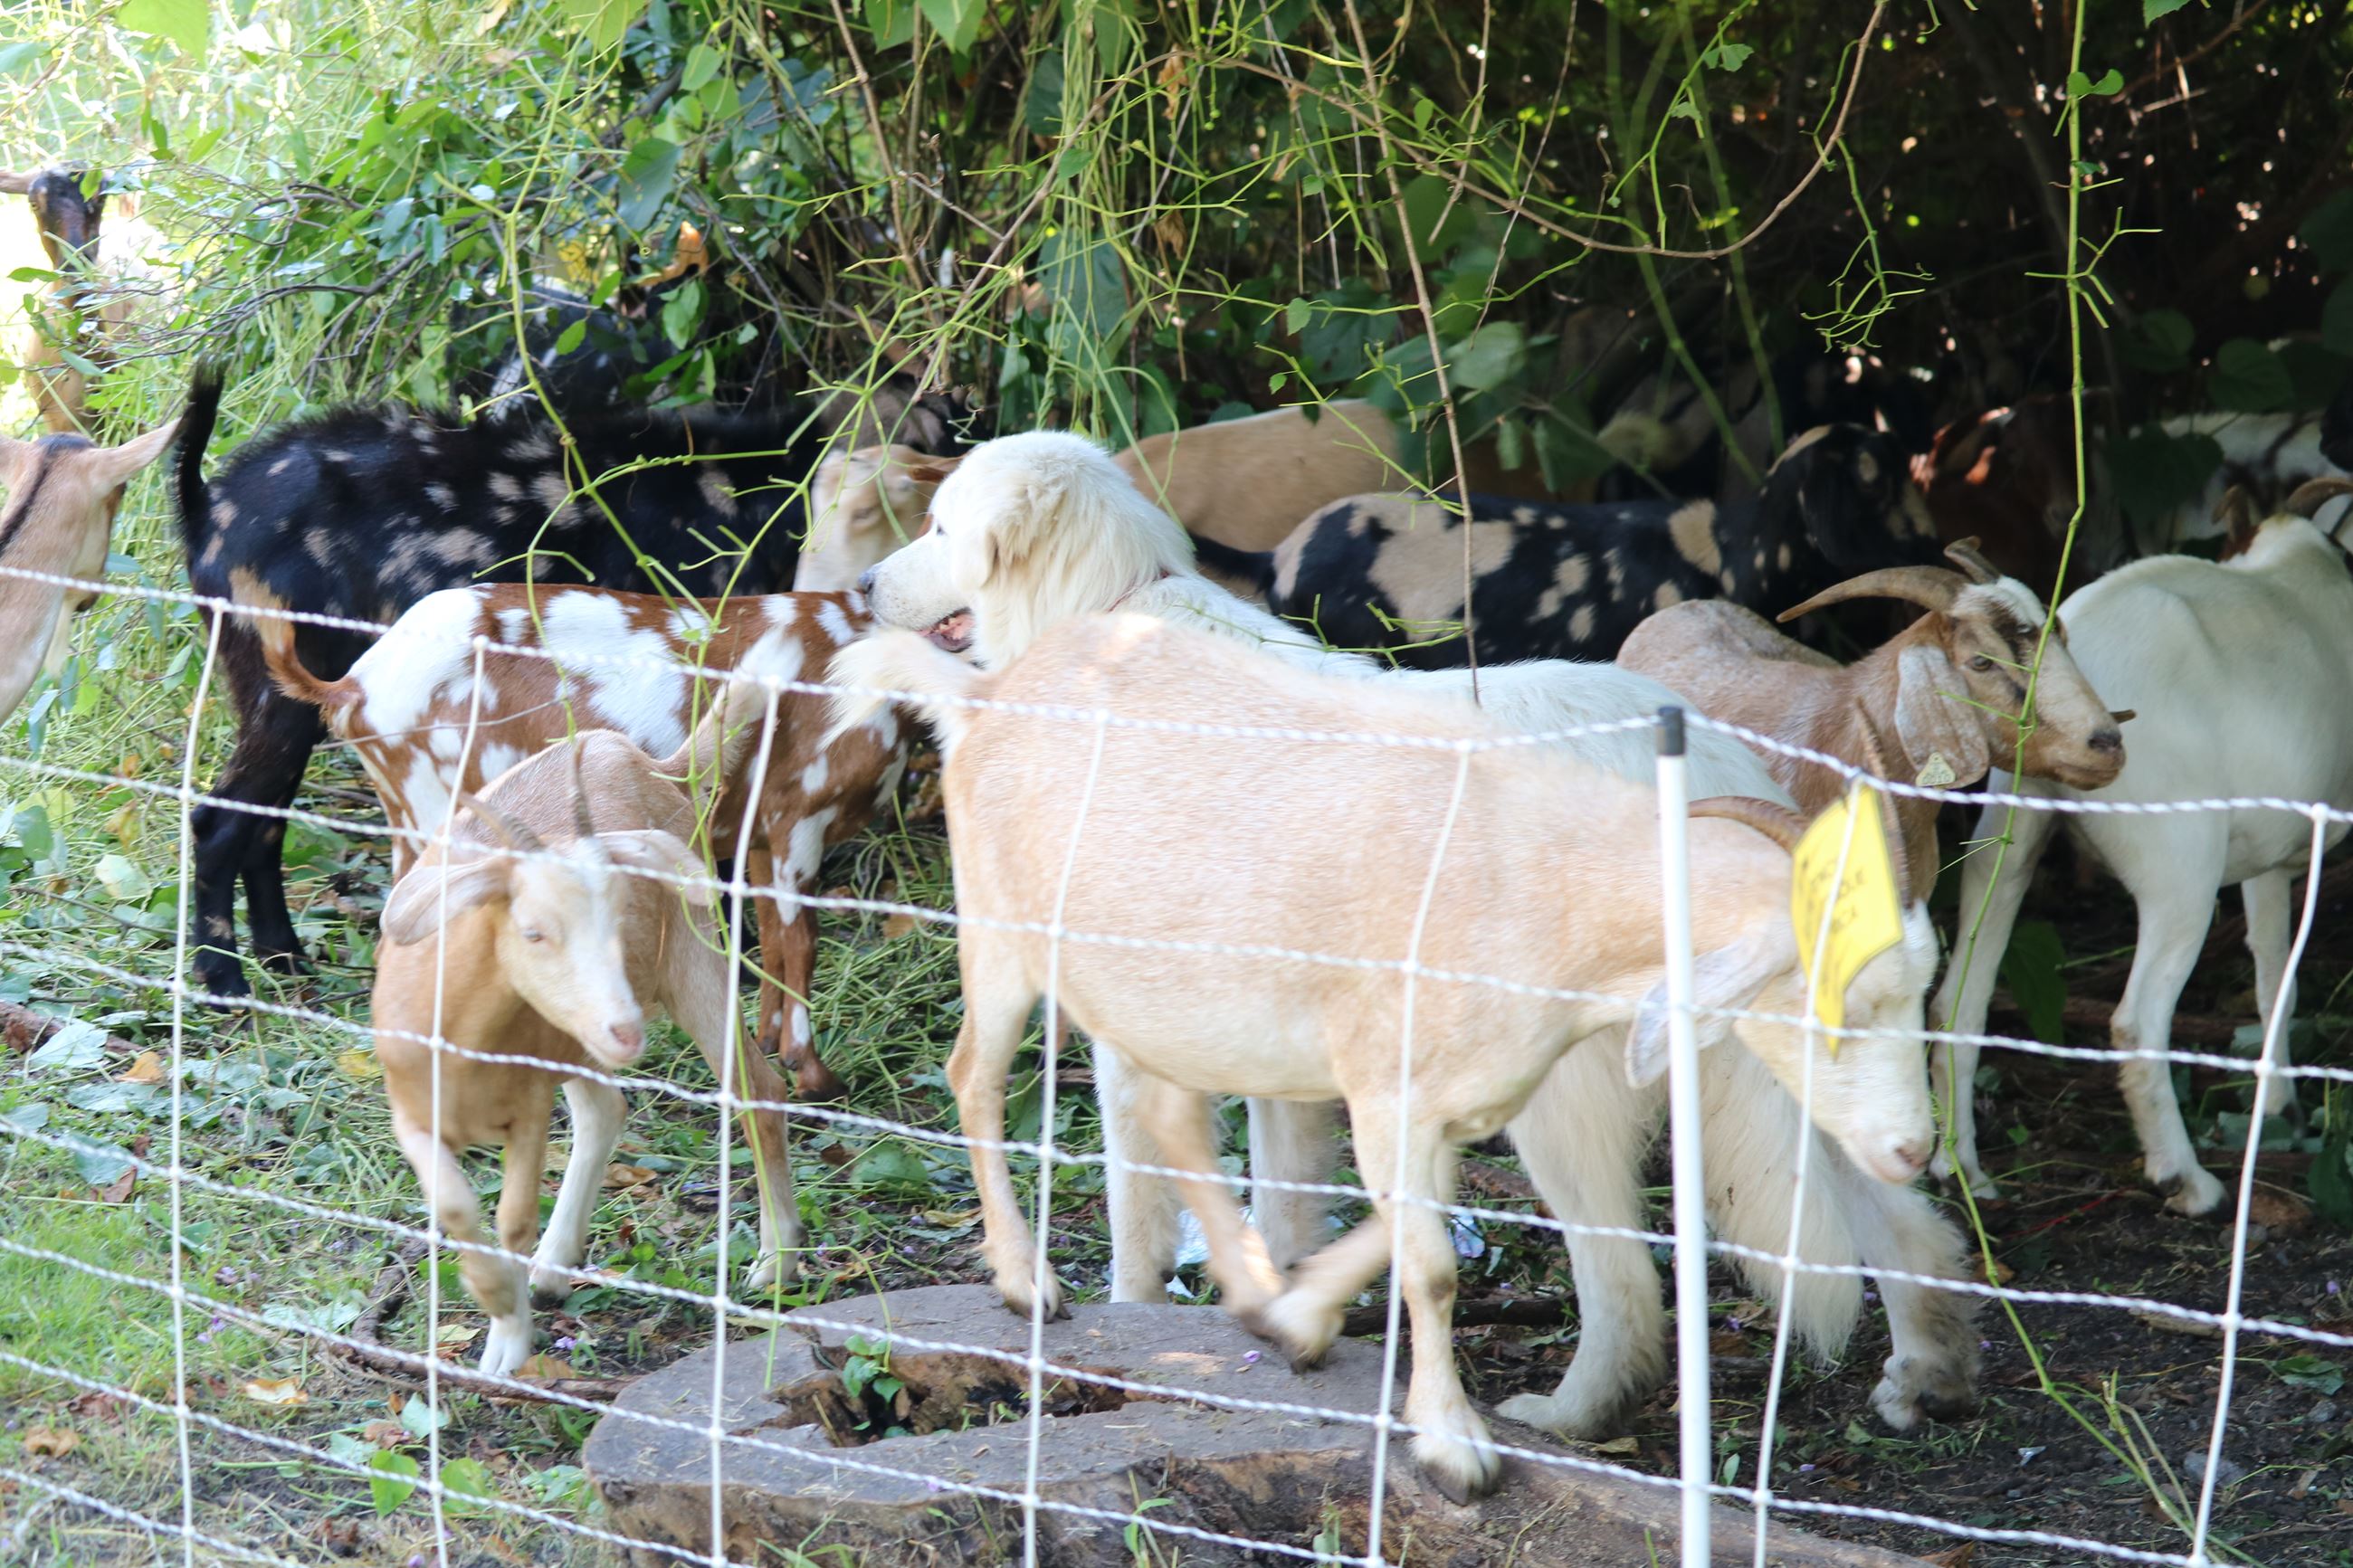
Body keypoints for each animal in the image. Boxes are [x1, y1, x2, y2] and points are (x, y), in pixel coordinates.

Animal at [172, 363, 827, 1001]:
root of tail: (205, 505)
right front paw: (736, 960)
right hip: (275, 693)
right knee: (221, 822)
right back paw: (224, 982)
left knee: (263, 823)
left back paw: (284, 959)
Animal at [259, 584, 903, 1099]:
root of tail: (352, 687)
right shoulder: (802, 817)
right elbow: (801, 942)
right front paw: (814, 1076)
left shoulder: (764, 834)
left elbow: (770, 936)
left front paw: (771, 1040)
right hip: (436, 808)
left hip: (406, 818)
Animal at [373, 725, 801, 1376]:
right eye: (533, 930)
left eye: (620, 916)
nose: (627, 1029)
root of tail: (643, 760)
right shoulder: (414, 1115)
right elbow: (454, 1208)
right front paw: (498, 1299)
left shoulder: (528, 1109)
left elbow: (512, 1218)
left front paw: (507, 1344)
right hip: (578, 1036)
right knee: (607, 1109)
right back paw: (553, 1269)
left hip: (694, 958)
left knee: (758, 1090)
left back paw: (777, 1262)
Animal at [1932, 478, 2353, 1214]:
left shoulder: (2268, 852)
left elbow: (2274, 971)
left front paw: (2280, 1106)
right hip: (2179, 870)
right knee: (2136, 1021)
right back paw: (2187, 1181)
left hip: (2006, 833)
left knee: (1961, 993)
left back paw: (1961, 1172)